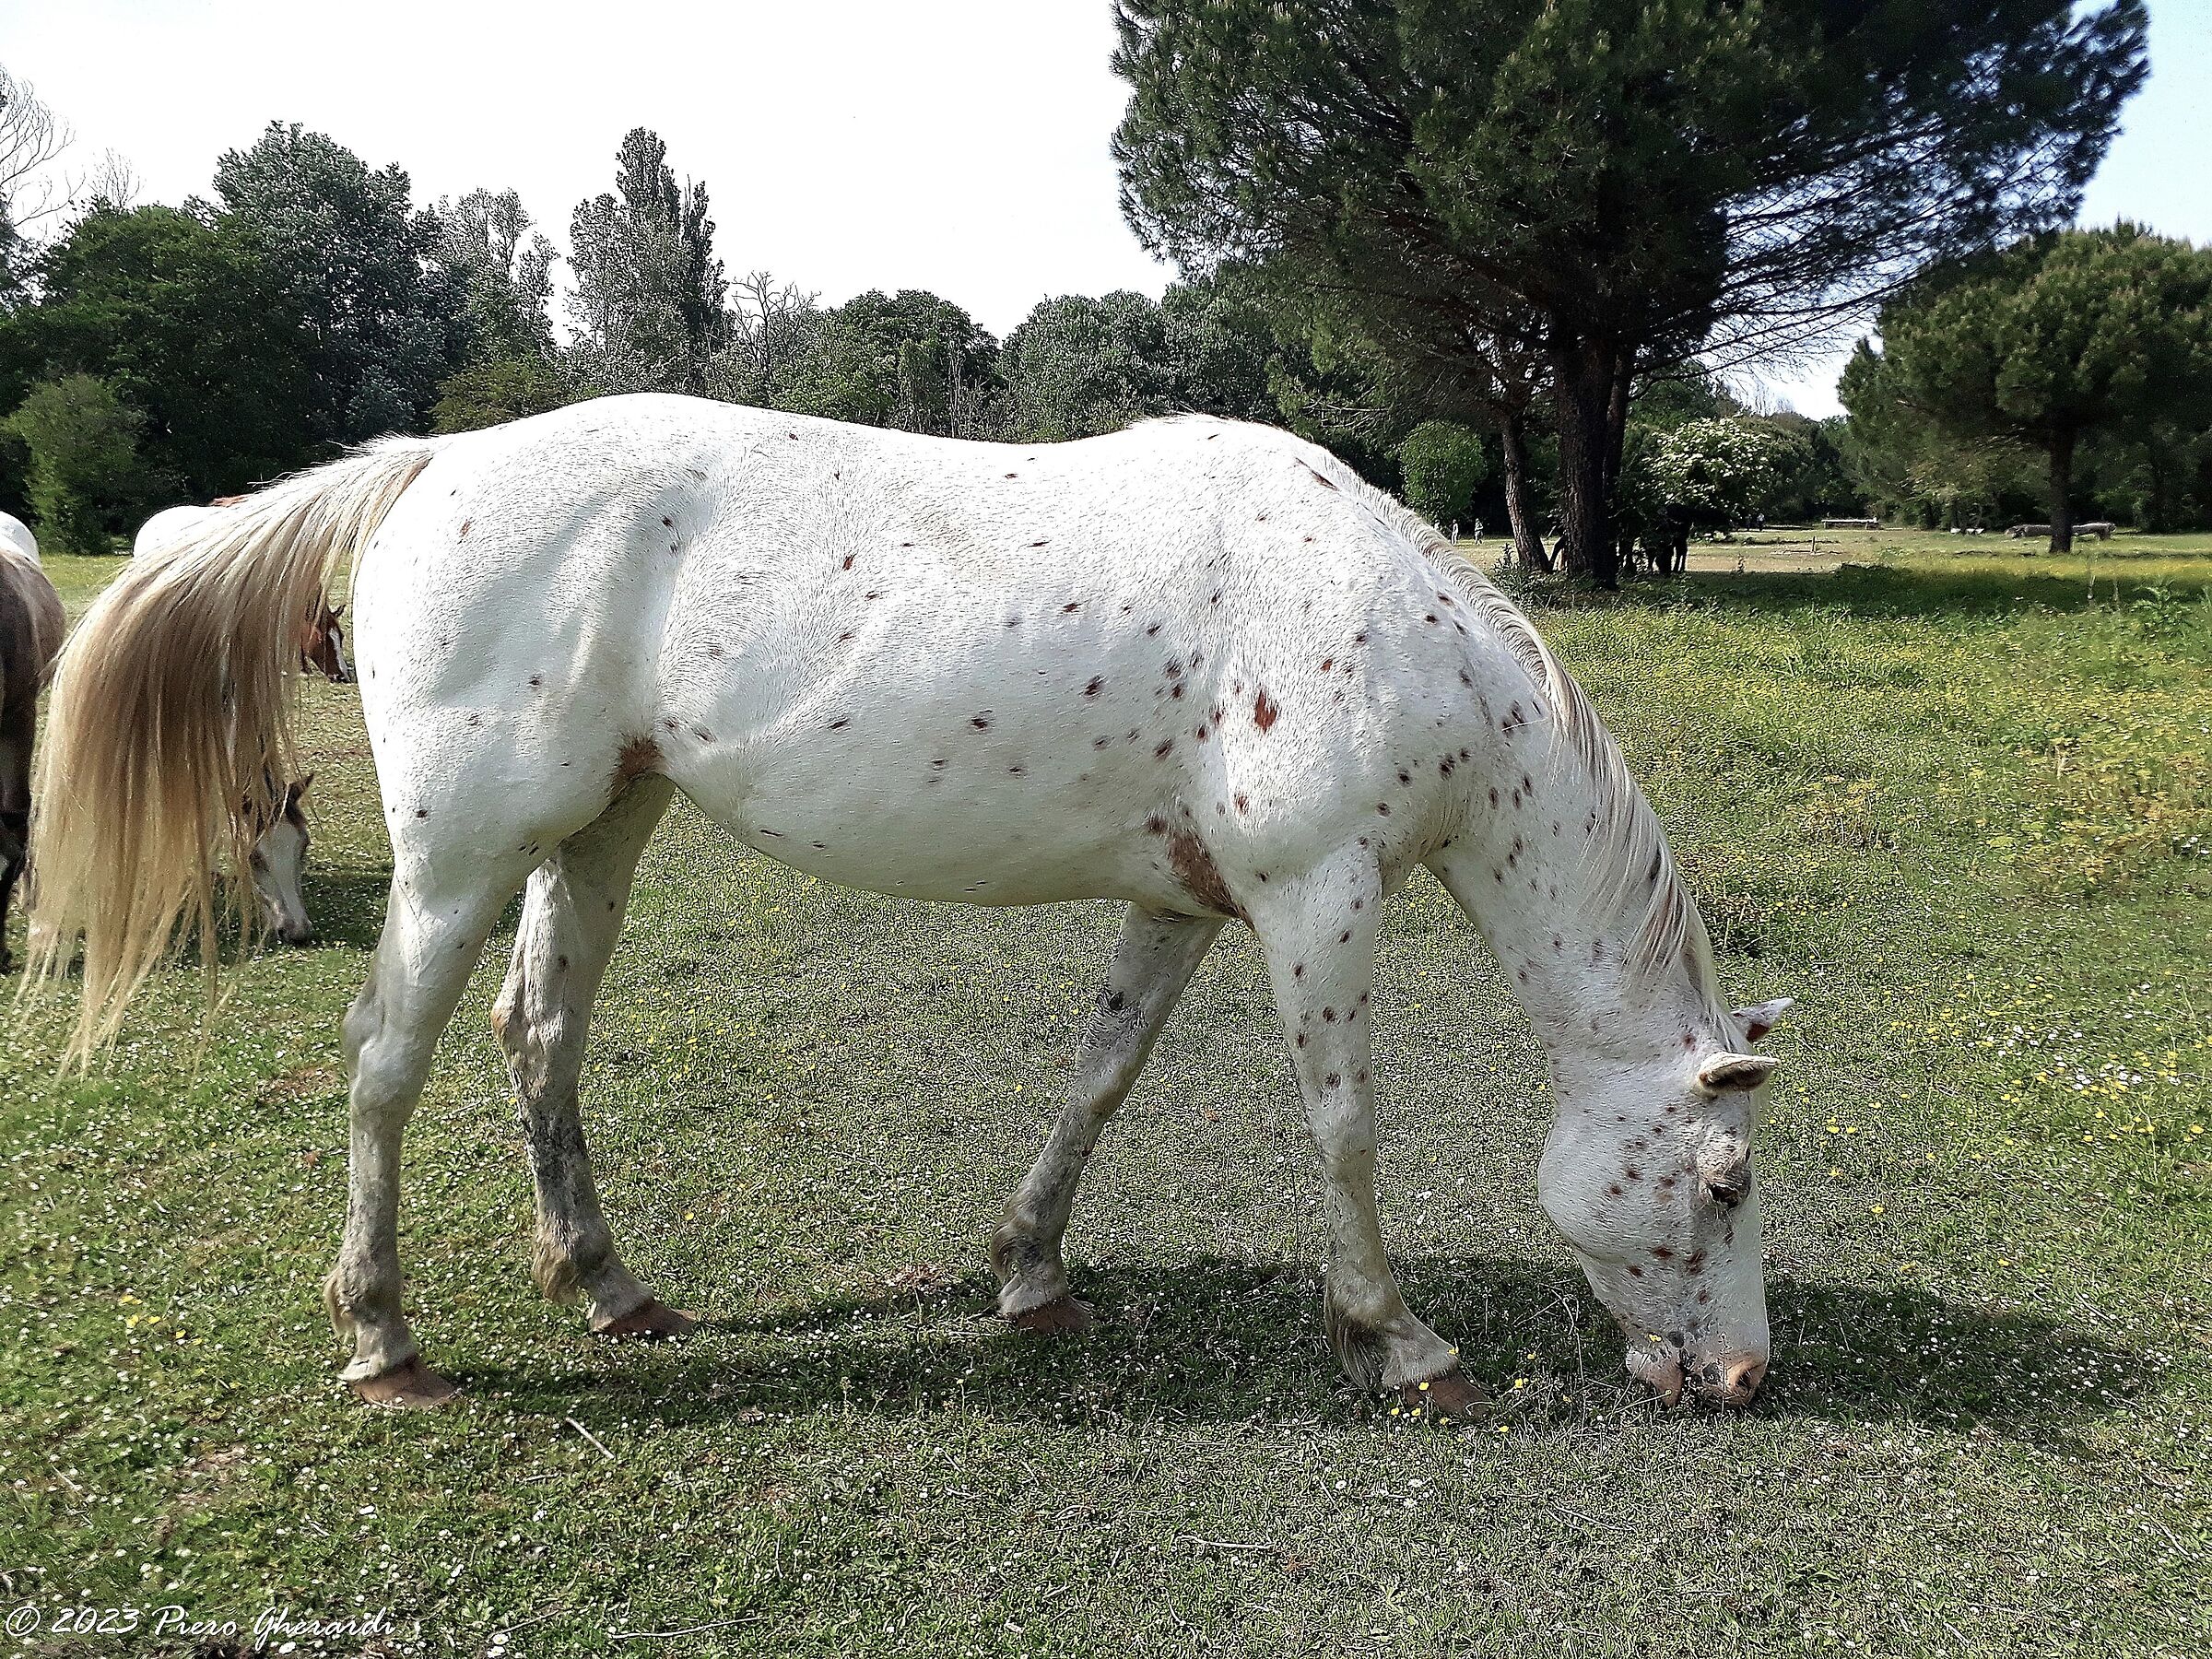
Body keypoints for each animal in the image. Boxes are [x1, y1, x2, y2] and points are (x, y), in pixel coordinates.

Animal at [28, 395, 1789, 1413]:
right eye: (1722, 1184)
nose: (1741, 1374)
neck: (1381, 619)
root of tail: (430, 468)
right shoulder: (1317, 898)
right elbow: (1347, 1128)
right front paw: (1398, 1338)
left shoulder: (1188, 906)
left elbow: (1100, 1080)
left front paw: (1029, 1271)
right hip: (460, 854)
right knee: (387, 1060)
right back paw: (384, 1337)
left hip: (598, 829)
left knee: (542, 1039)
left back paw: (608, 1286)